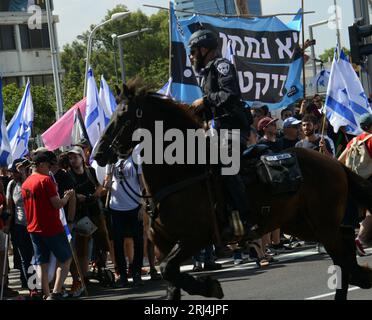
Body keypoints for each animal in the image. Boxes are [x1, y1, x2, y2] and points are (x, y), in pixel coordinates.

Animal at [93, 82, 372, 300]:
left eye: (124, 116)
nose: (98, 154)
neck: (181, 175)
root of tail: (334, 163)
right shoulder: (165, 245)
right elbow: (168, 277)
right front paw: (207, 284)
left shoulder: (194, 239)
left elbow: (168, 269)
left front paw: (210, 286)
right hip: (304, 225)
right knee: (344, 259)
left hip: (323, 225)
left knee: (344, 262)